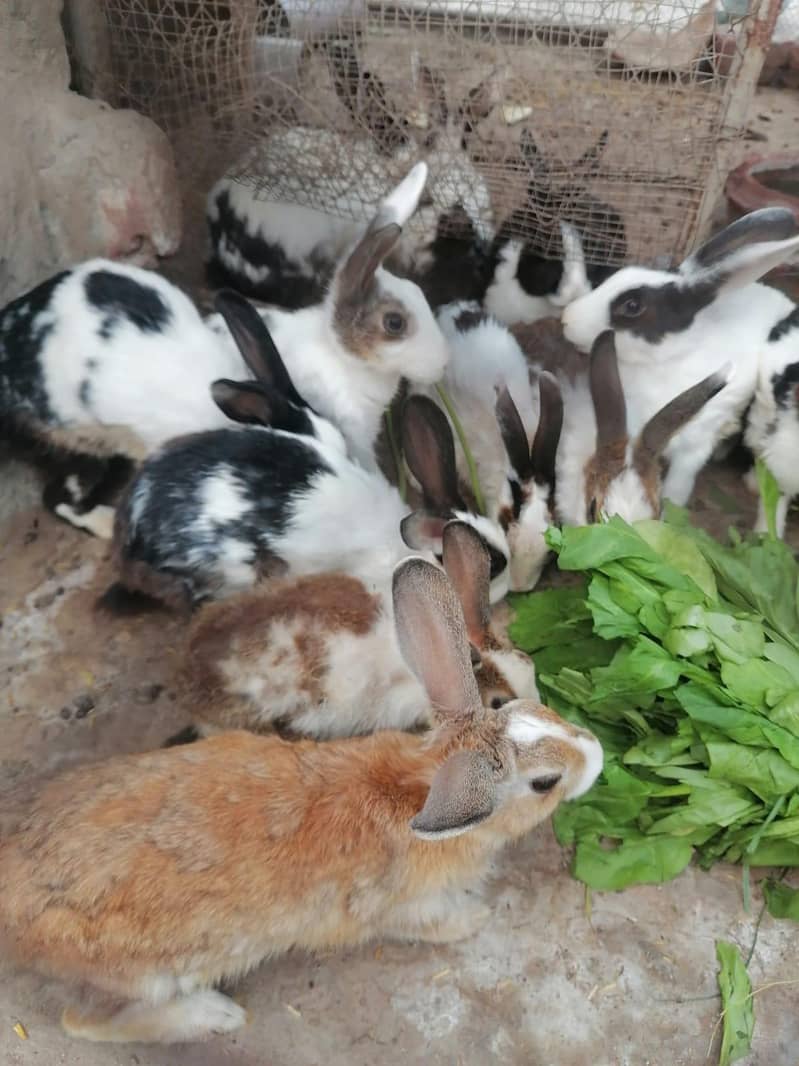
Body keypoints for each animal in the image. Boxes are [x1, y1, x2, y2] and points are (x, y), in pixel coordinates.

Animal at [0, 552, 602, 1045]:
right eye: (545, 782)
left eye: (535, 713)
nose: (596, 755)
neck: (425, 787)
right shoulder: (400, 909)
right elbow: (435, 924)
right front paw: (475, 917)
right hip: (149, 974)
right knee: (83, 1021)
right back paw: (214, 1016)